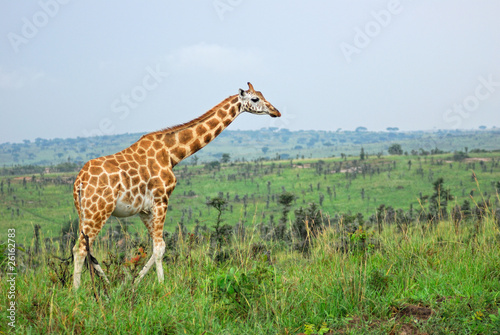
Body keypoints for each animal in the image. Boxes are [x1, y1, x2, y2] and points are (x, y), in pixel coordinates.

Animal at [73, 82, 282, 290]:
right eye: (255, 98)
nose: (276, 111)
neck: (172, 153)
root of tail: (79, 181)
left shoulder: (145, 209)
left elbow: (159, 245)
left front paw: (133, 284)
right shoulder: (161, 200)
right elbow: (159, 248)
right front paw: (162, 287)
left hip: (84, 212)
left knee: (87, 248)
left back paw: (105, 285)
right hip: (99, 209)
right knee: (80, 248)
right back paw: (76, 292)